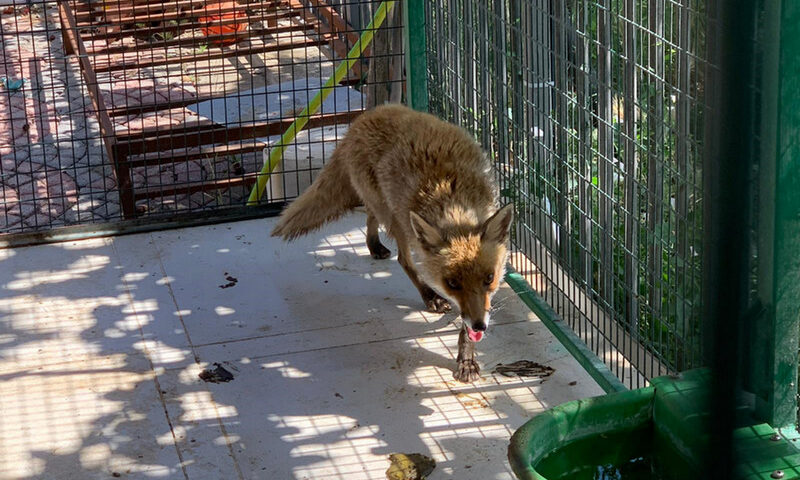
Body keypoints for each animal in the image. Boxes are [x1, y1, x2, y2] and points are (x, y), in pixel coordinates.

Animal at [274, 105, 512, 382]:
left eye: (489, 278)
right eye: (452, 283)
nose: (480, 325)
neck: (455, 203)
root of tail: (365, 117)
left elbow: (466, 325)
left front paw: (467, 358)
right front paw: (466, 354)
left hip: (385, 208)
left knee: (369, 214)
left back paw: (373, 244)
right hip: (396, 218)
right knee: (401, 258)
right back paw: (427, 295)